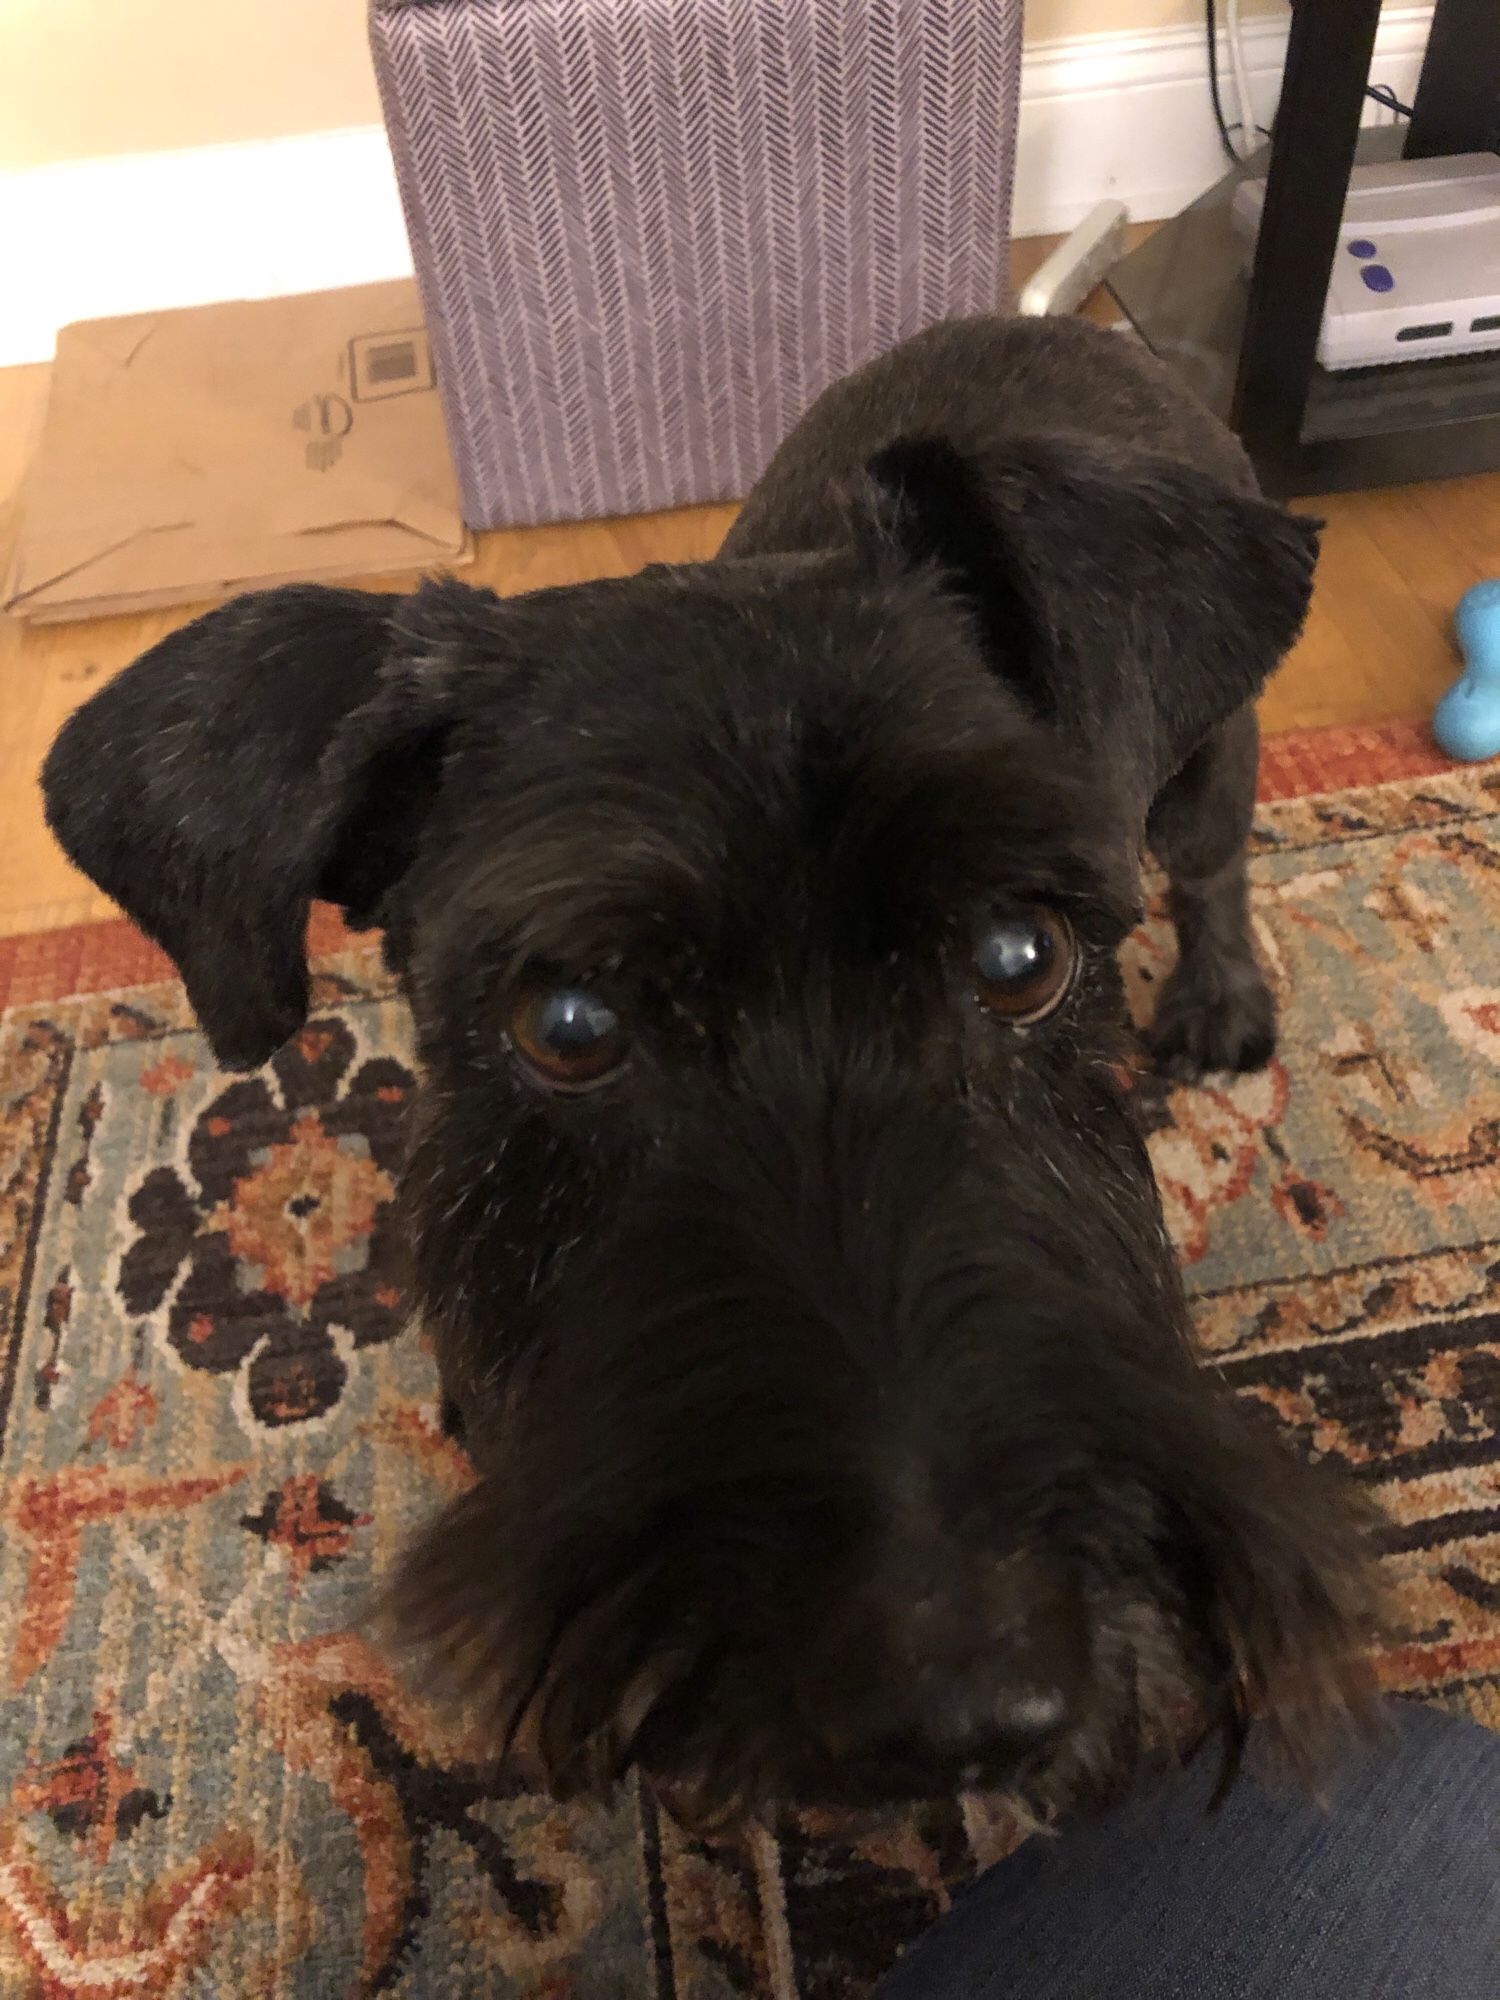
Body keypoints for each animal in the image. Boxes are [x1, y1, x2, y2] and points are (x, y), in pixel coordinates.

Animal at [44, 312, 1384, 1832]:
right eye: (567, 1022)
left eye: (1020, 953)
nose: (962, 1709)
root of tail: (1055, 323)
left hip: (1207, 770)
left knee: (1217, 869)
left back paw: (1221, 998)